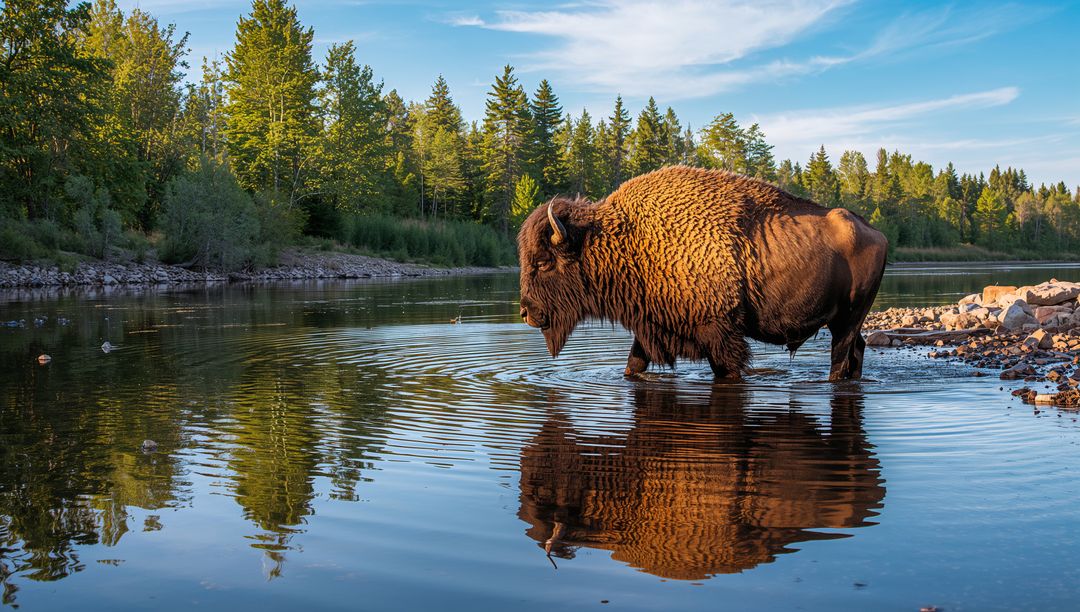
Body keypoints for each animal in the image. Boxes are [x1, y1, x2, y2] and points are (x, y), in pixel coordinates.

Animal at [517, 166, 888, 380]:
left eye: (543, 262)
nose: (525, 311)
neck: (627, 240)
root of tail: (876, 233)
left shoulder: (719, 335)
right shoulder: (652, 326)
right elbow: (633, 366)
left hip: (848, 320)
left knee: (840, 360)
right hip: (845, 322)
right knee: (856, 352)